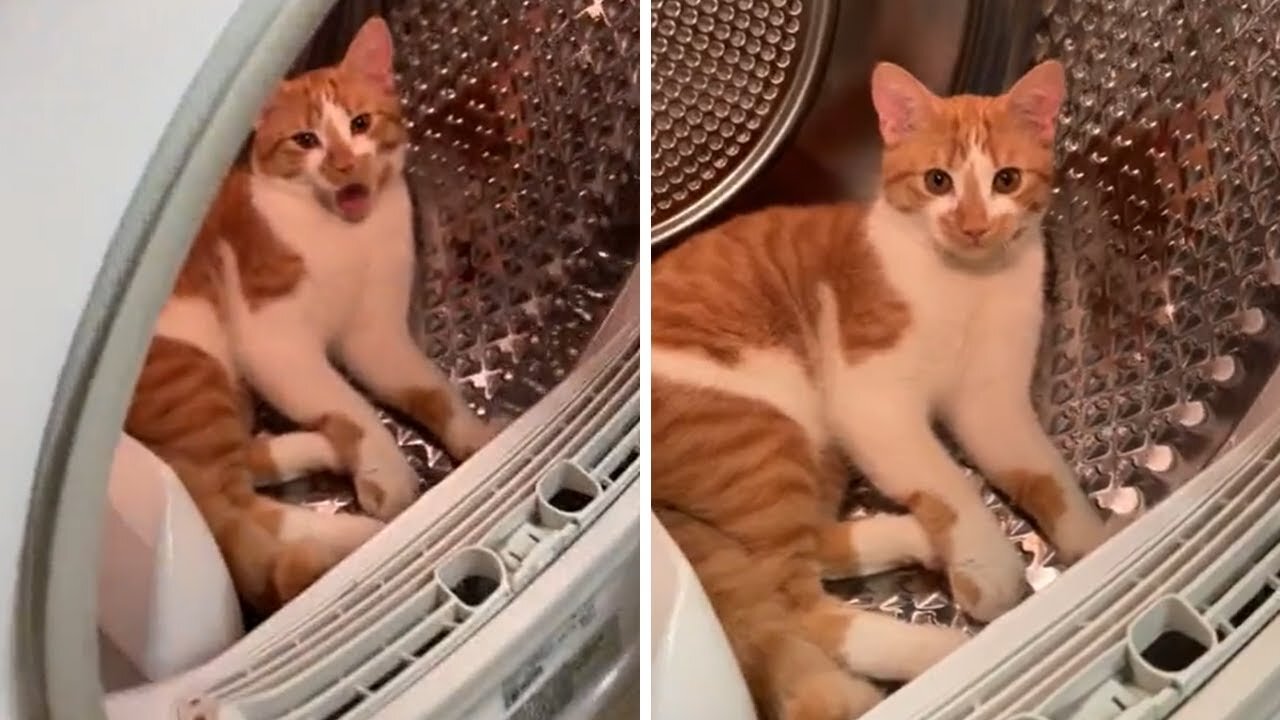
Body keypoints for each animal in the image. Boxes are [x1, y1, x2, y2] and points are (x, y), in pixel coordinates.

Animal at [123, 16, 494, 609]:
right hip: (192, 366)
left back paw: (319, 450)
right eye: (306, 141)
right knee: (228, 506)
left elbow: (431, 390)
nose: (344, 164)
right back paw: (351, 537)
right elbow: (352, 407)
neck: (348, 237)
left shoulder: (376, 337)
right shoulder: (278, 346)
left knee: (242, 465)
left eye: (360, 123)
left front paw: (478, 437)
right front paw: (386, 471)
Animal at [650, 61, 1111, 717]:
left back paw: (912, 538)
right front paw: (989, 566)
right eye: (938, 181)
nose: (973, 226)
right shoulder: (873, 401)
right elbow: (946, 483)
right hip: (761, 433)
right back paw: (938, 651)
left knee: (806, 549)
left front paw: (1097, 541)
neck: (966, 283)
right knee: (791, 599)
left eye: (1006, 179)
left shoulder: (992, 403)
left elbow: (1046, 475)